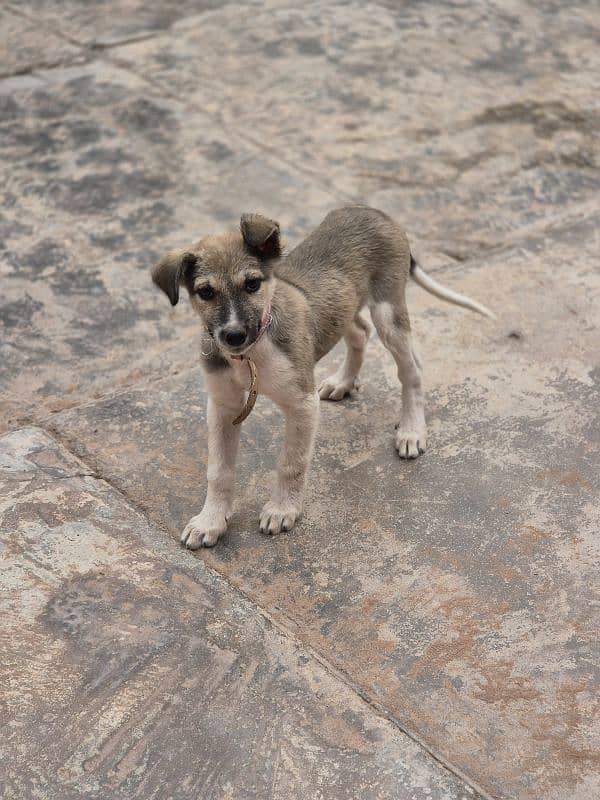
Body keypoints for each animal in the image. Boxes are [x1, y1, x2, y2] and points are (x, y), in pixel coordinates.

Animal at [150, 203, 492, 548]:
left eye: (252, 284)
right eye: (205, 292)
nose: (233, 336)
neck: (251, 354)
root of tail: (373, 210)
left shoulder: (302, 403)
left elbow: (292, 462)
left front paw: (282, 509)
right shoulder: (223, 406)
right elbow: (218, 470)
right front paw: (210, 520)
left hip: (389, 312)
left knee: (411, 370)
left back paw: (411, 430)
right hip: (348, 310)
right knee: (359, 332)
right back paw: (343, 382)